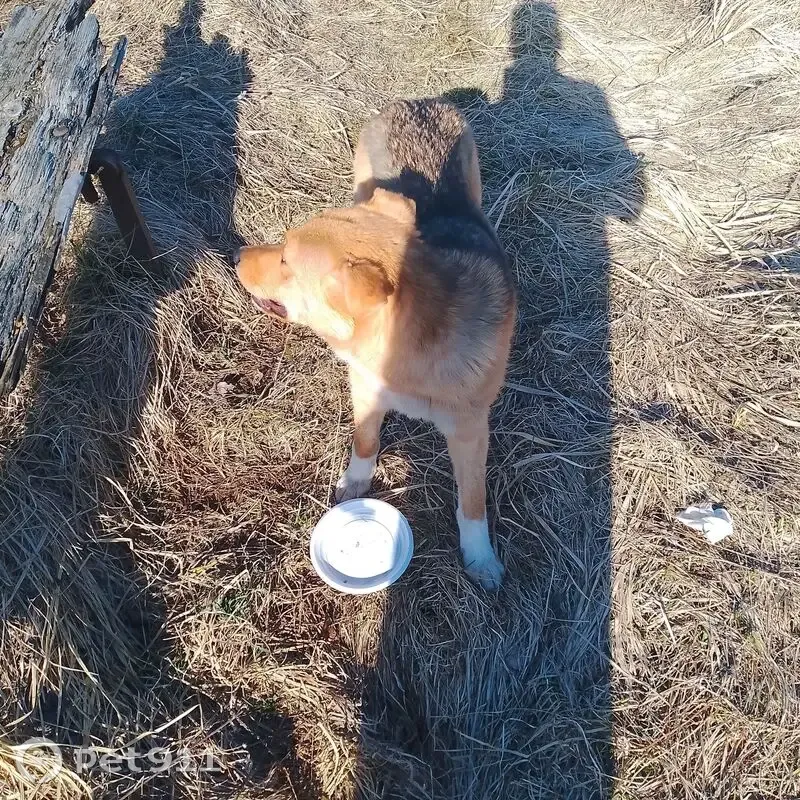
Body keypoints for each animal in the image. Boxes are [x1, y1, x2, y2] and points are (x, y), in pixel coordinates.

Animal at [235, 98, 516, 589]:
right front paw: (356, 483)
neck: (410, 353)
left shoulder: (469, 431)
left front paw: (480, 558)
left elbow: (472, 503)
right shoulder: (365, 390)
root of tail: (419, 103)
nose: (236, 255)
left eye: (286, 259)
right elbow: (364, 440)